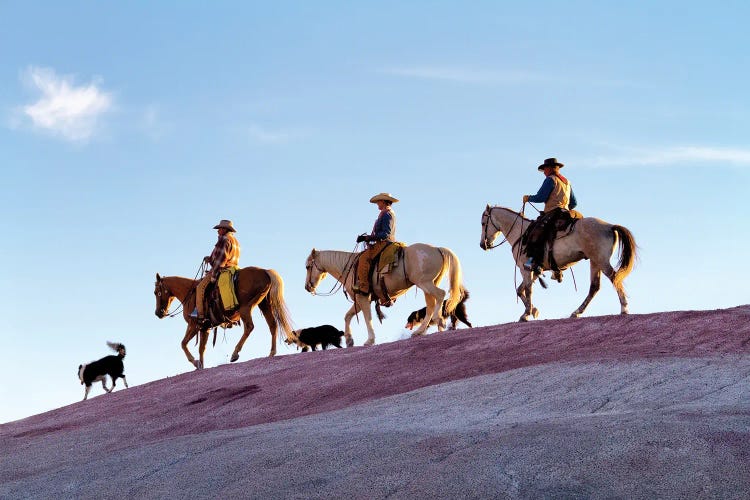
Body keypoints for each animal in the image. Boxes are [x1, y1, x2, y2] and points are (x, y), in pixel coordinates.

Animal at [154, 268, 296, 370]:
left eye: (156, 292)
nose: (158, 313)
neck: (190, 293)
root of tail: (265, 271)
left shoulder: (194, 325)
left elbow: (183, 343)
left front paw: (194, 362)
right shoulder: (205, 328)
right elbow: (201, 348)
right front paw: (200, 365)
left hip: (246, 307)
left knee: (249, 327)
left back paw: (235, 353)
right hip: (265, 305)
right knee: (272, 325)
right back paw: (272, 352)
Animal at [304, 243, 468, 346]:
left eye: (307, 266)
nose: (307, 287)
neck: (349, 267)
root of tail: (437, 249)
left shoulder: (363, 297)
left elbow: (367, 318)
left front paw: (370, 340)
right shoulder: (360, 300)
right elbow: (347, 316)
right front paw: (349, 340)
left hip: (425, 283)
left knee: (440, 295)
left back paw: (439, 320)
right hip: (427, 285)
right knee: (431, 305)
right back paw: (420, 331)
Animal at [484, 205, 636, 322]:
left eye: (483, 223)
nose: (483, 244)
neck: (520, 233)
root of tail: (610, 226)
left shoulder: (525, 269)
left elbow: (527, 290)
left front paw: (526, 314)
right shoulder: (535, 270)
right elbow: (520, 290)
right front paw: (534, 310)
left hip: (601, 261)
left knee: (614, 278)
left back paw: (624, 308)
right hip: (595, 262)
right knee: (594, 287)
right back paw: (577, 312)